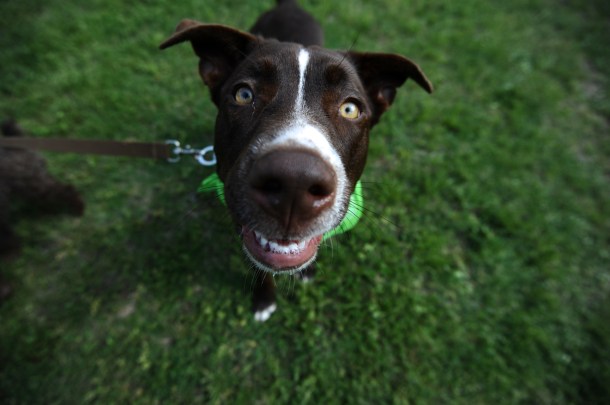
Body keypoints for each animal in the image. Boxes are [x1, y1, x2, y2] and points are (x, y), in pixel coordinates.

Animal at [160, 0, 432, 321]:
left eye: (350, 109)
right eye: (243, 94)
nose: (295, 182)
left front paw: (306, 272)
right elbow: (260, 265)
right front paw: (264, 300)